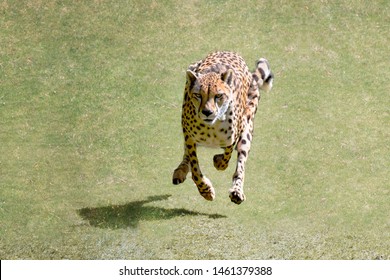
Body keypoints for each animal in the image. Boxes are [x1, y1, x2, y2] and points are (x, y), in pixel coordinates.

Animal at [172, 50, 272, 203]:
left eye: (218, 95)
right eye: (198, 95)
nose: (207, 112)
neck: (211, 127)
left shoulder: (234, 136)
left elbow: (226, 158)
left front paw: (218, 161)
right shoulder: (189, 136)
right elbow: (194, 167)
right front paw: (206, 191)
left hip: (247, 129)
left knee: (240, 164)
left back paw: (236, 192)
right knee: (186, 156)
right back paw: (180, 171)